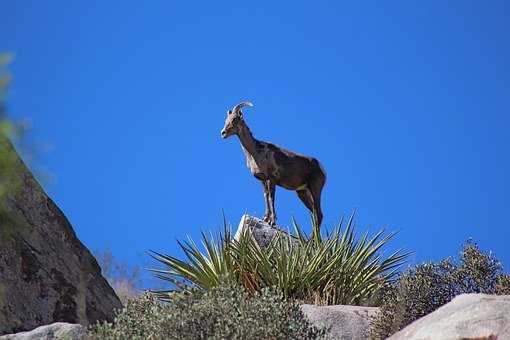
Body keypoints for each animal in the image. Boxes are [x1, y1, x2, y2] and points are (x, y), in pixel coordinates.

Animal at [220, 100, 326, 228]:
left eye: (235, 119)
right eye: (226, 120)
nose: (223, 133)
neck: (256, 152)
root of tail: (322, 169)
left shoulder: (271, 180)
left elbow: (271, 198)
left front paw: (272, 222)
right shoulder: (263, 181)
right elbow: (265, 197)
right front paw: (266, 218)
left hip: (315, 188)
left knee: (319, 214)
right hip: (302, 192)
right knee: (314, 213)